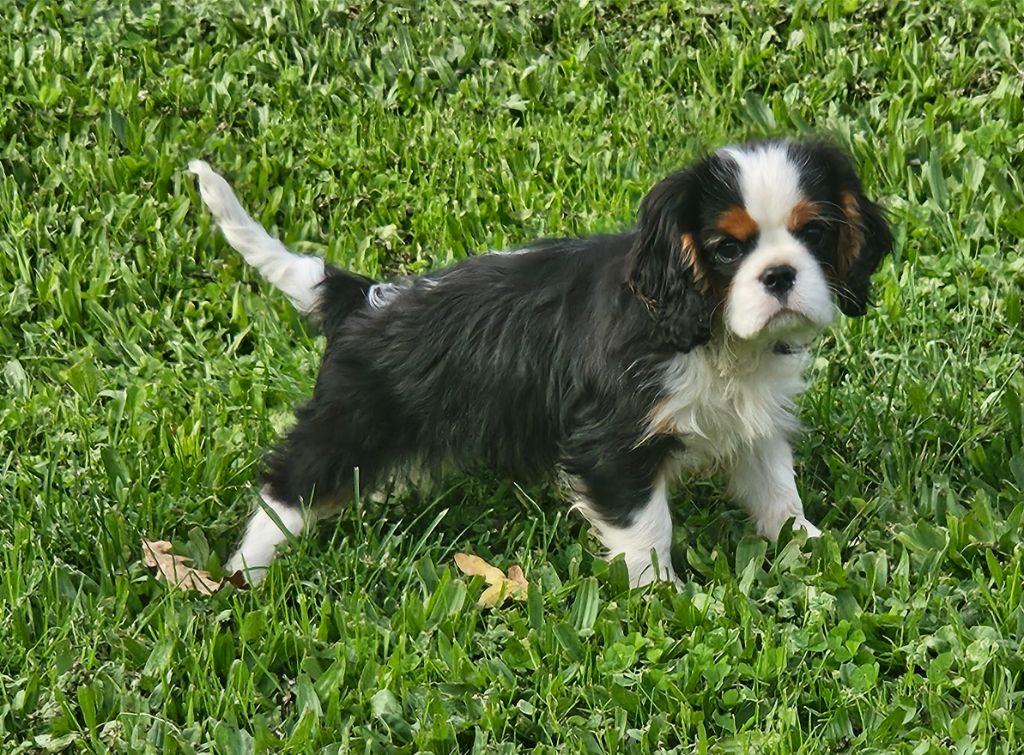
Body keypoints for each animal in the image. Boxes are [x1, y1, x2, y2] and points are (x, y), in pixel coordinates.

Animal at [188, 141, 892, 590]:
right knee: (286, 489)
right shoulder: (612, 443)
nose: (780, 275)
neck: (712, 335)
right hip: (348, 421)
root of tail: (360, 297)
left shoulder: (752, 425)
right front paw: (661, 594)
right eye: (725, 249)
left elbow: (776, 492)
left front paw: (811, 546)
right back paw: (243, 575)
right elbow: (647, 527)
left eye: (815, 234)